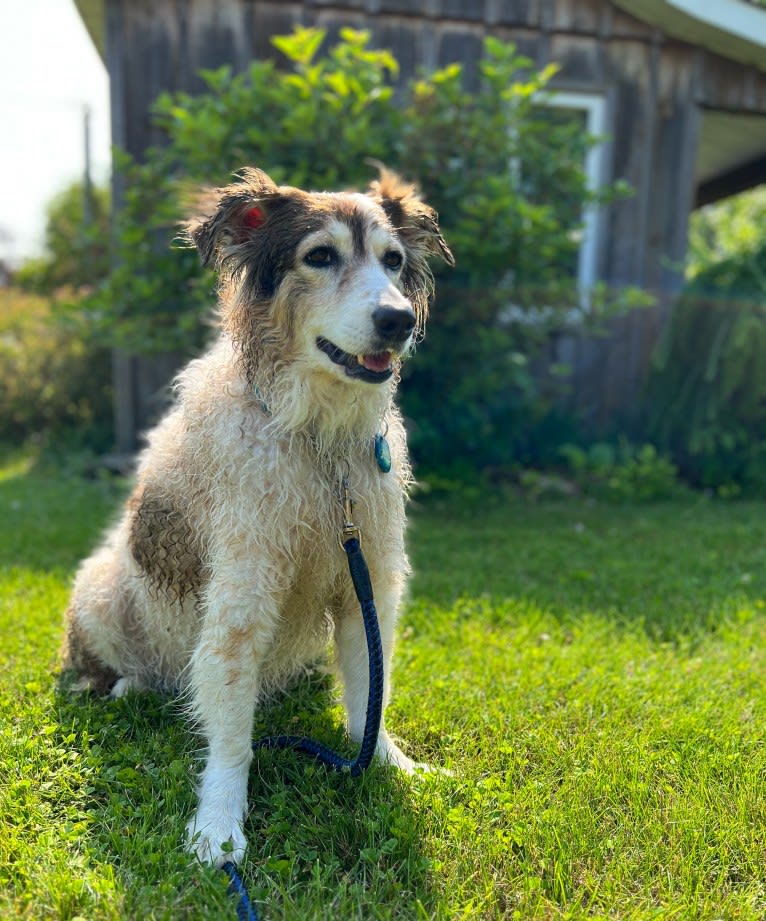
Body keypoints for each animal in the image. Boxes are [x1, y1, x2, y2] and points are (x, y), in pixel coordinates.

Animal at [63, 164, 456, 864]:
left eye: (393, 261)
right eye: (319, 256)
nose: (398, 320)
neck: (319, 445)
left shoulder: (368, 583)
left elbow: (370, 692)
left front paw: (390, 765)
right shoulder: (242, 592)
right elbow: (232, 735)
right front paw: (219, 824)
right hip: (101, 590)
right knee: (108, 672)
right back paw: (133, 686)